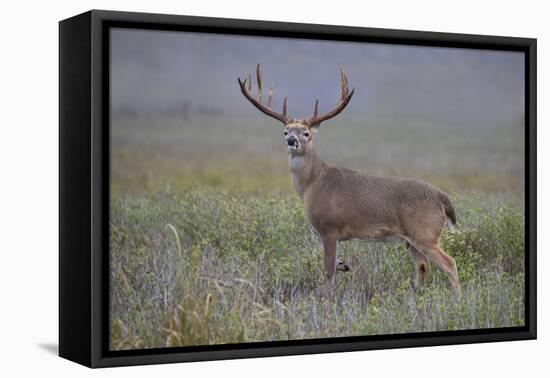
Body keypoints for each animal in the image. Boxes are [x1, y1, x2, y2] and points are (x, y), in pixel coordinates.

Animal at [237, 64, 462, 296]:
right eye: (285, 131)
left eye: (306, 133)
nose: (292, 140)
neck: (312, 183)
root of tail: (441, 196)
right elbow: (334, 266)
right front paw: (343, 266)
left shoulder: (329, 229)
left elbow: (328, 271)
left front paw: (327, 297)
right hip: (411, 239)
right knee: (423, 265)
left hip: (424, 233)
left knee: (449, 263)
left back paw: (458, 299)